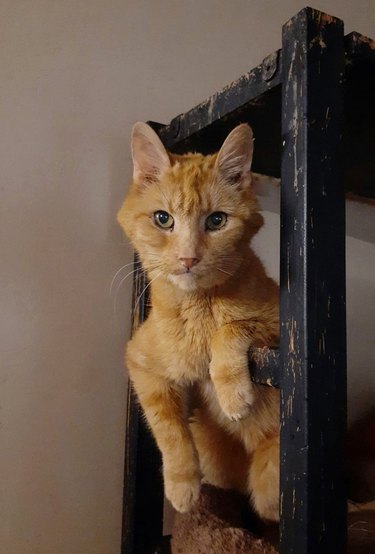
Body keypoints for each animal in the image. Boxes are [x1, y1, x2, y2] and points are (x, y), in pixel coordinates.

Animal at [119, 121, 280, 516]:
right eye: (163, 219)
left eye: (217, 220)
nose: (188, 258)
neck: (196, 308)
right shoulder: (141, 365)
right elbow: (169, 430)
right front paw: (181, 486)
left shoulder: (283, 327)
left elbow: (232, 327)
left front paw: (232, 393)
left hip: (271, 486)